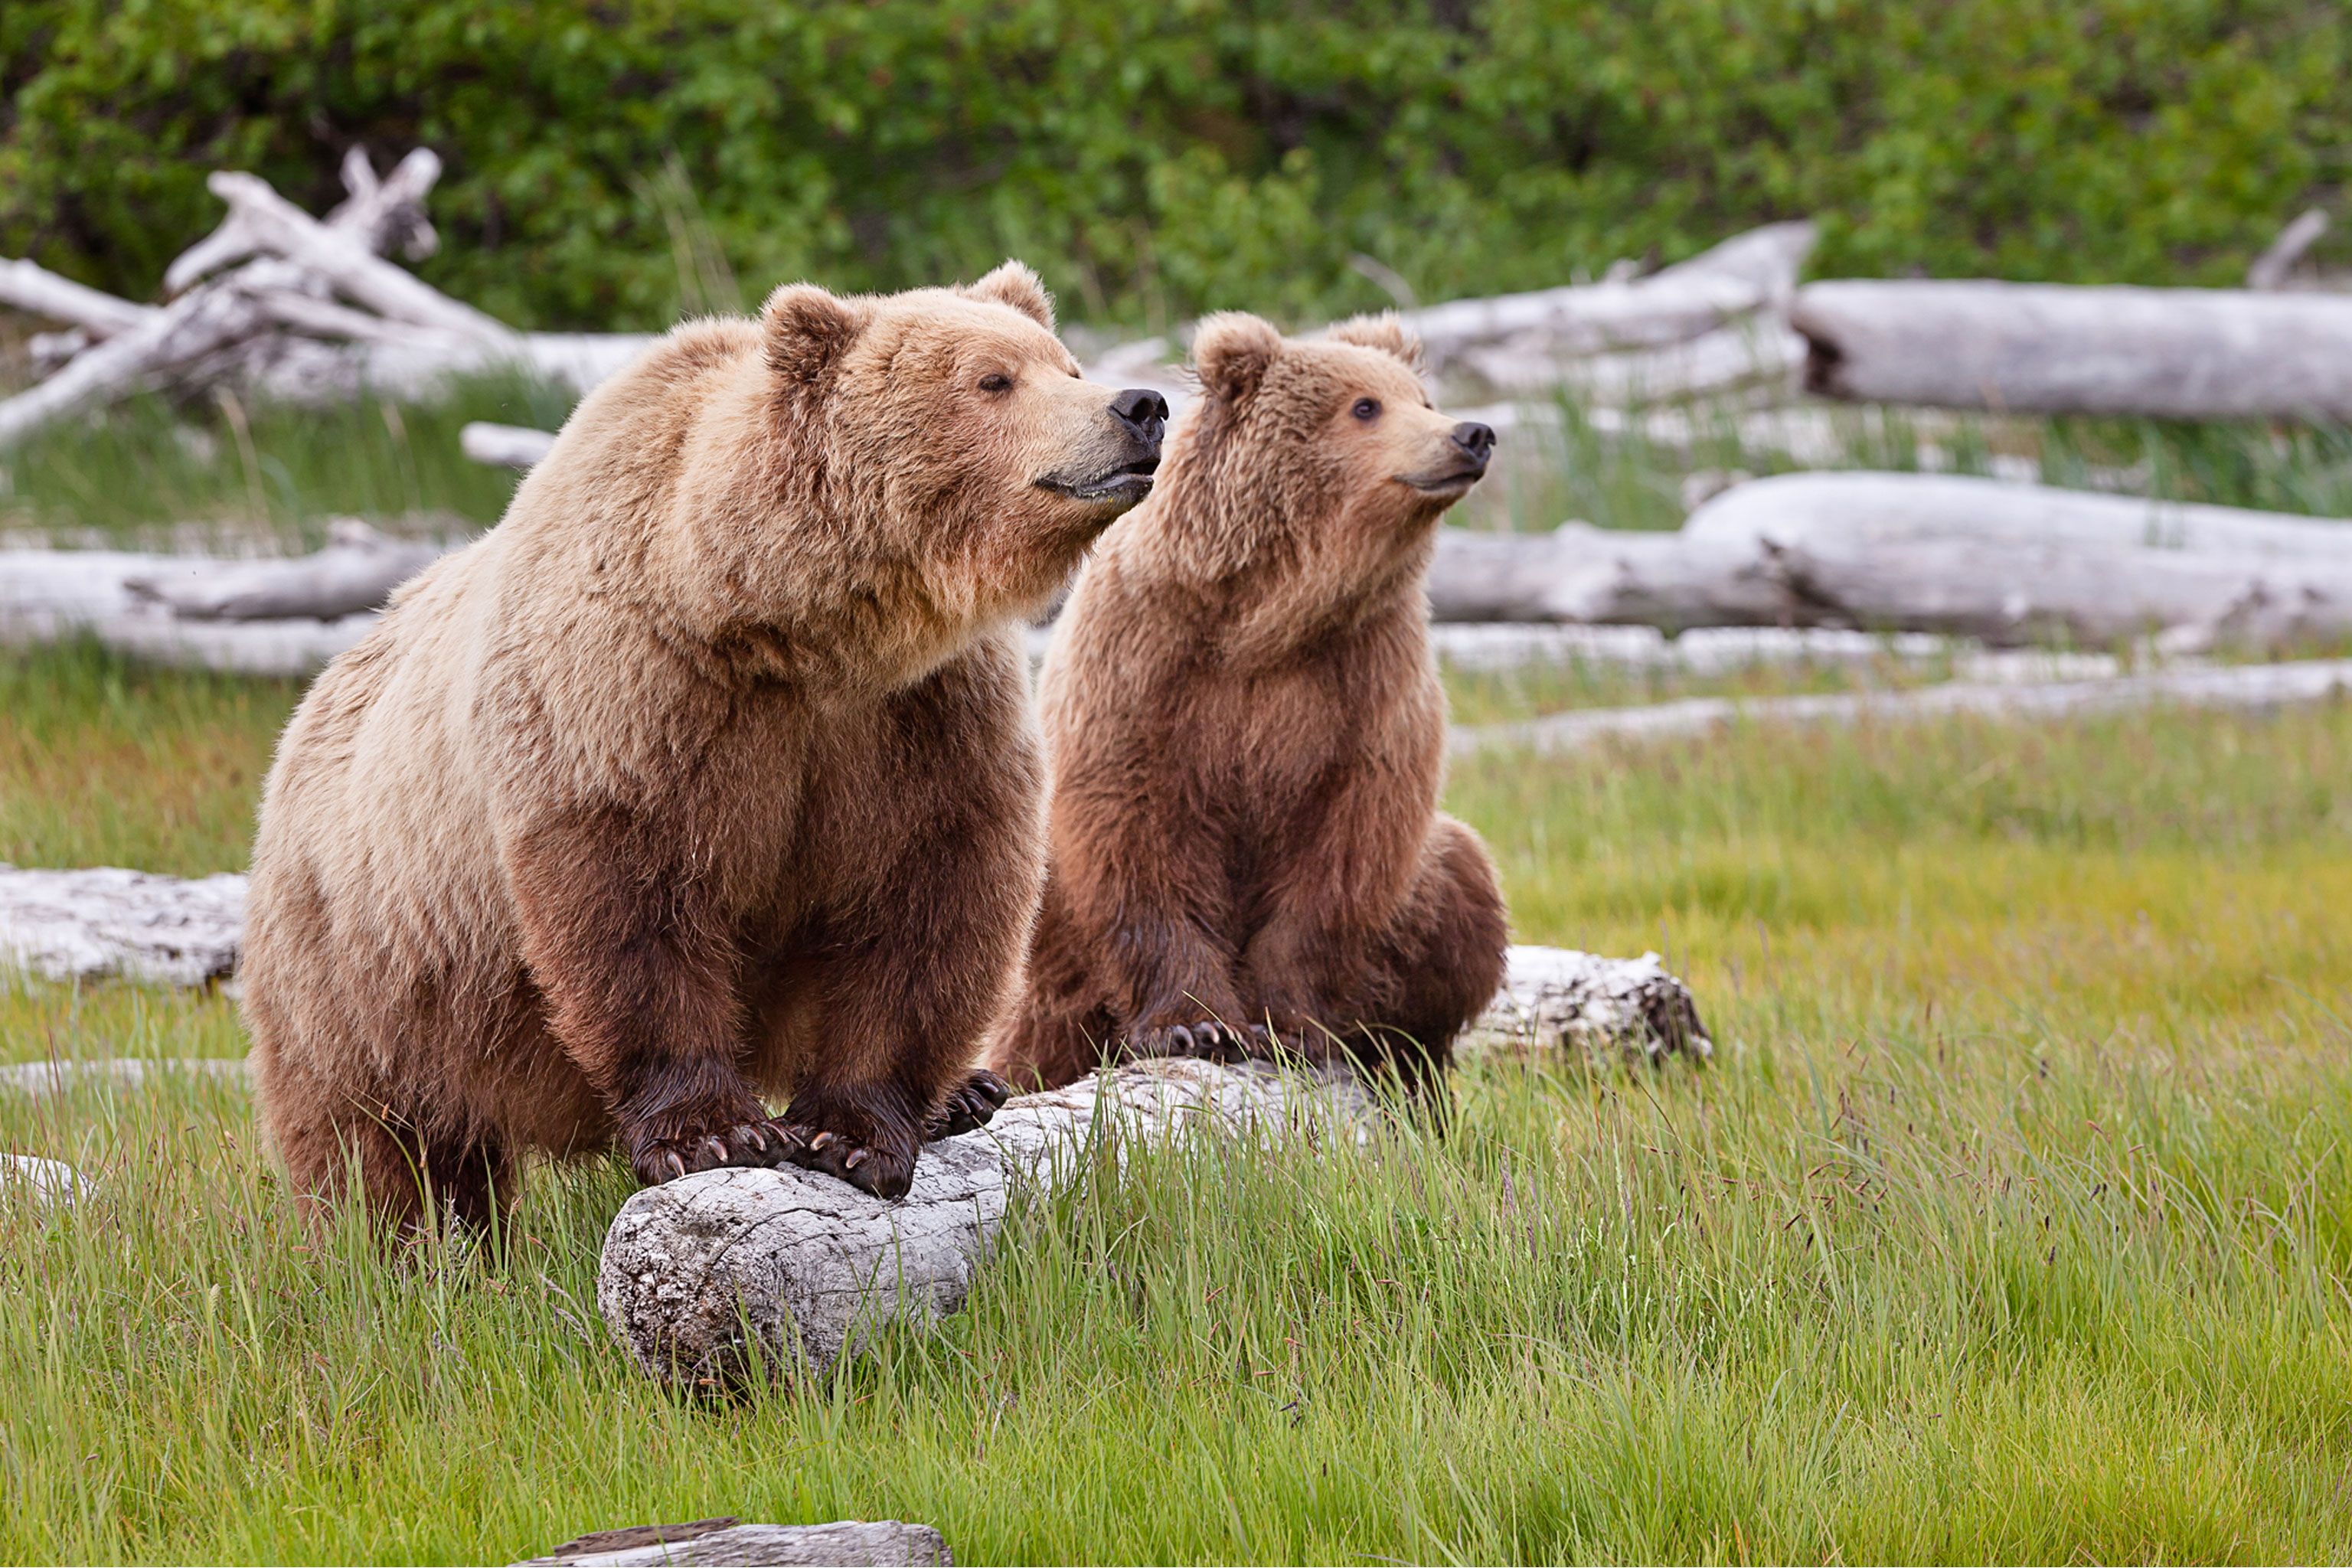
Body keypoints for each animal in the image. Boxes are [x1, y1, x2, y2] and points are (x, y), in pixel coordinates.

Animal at [246, 266, 1166, 1222]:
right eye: (993, 379)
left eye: (1064, 362)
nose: (1140, 405)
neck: (797, 632)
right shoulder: (639, 698)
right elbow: (634, 905)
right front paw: (714, 1133)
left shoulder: (923, 716)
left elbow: (927, 899)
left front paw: (853, 1134)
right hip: (371, 963)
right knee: (382, 1139)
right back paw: (402, 1231)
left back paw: (968, 1092)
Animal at [988, 312, 1505, 1099]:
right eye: (1365, 406)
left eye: (1422, 397)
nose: (1471, 433)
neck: (1271, 616)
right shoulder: (1147, 664)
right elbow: (1135, 833)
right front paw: (1194, 1025)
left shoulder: (1366, 674)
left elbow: (1344, 855)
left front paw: (1289, 1025)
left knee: (1464, 886)